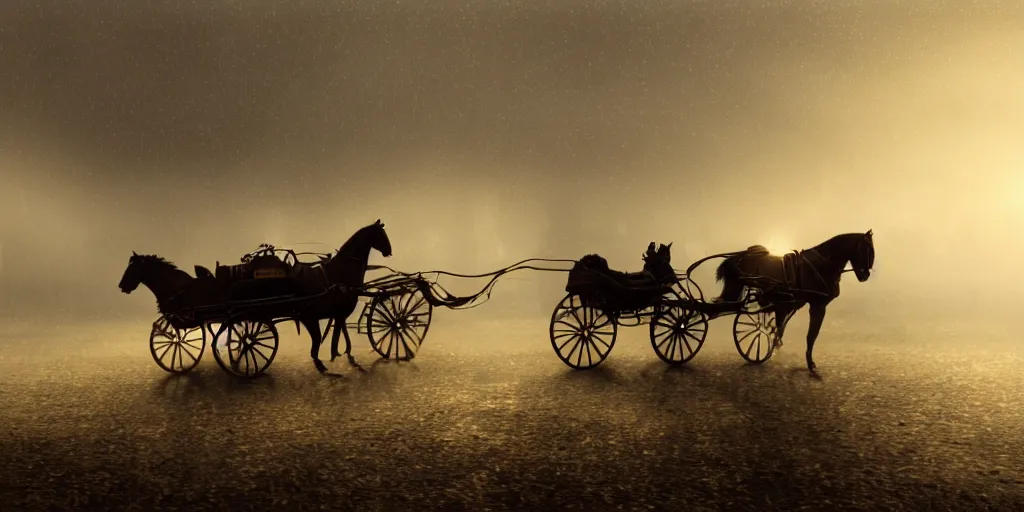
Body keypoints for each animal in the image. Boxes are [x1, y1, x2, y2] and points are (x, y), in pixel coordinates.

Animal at [117, 219, 393, 372]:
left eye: (131, 269)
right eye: (382, 235)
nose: (122, 287)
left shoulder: (326, 312)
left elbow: (333, 334)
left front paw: (339, 357)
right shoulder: (317, 312)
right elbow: (325, 337)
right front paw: (330, 360)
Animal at [716, 230, 876, 374]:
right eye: (866, 250)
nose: (865, 276)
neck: (822, 264)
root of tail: (738, 257)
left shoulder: (787, 305)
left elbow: (783, 328)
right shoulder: (818, 305)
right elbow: (811, 335)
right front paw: (810, 363)